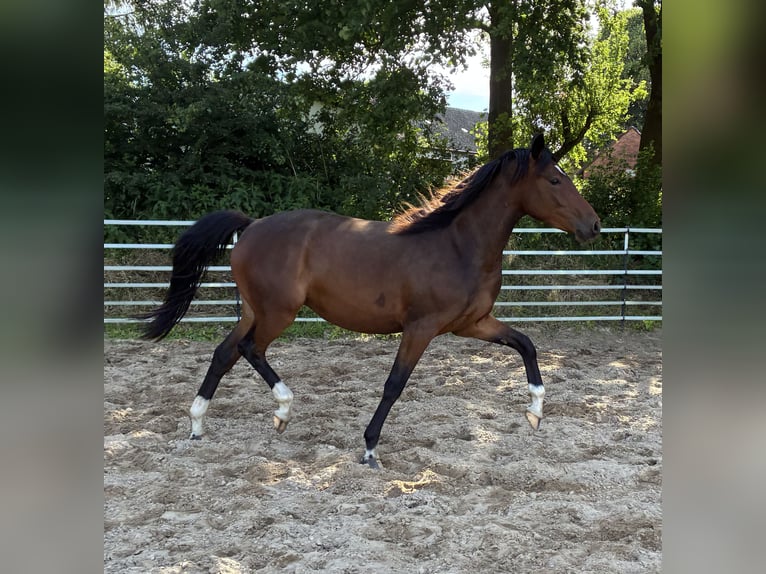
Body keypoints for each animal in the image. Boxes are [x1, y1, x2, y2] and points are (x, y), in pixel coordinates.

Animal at [142, 133, 600, 469]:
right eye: (555, 180)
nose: (594, 225)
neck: (457, 246)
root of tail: (252, 225)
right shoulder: (421, 328)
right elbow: (394, 384)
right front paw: (369, 449)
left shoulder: (473, 323)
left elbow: (526, 344)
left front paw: (535, 411)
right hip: (278, 313)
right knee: (250, 348)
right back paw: (283, 411)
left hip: (257, 309)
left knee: (225, 353)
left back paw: (197, 424)